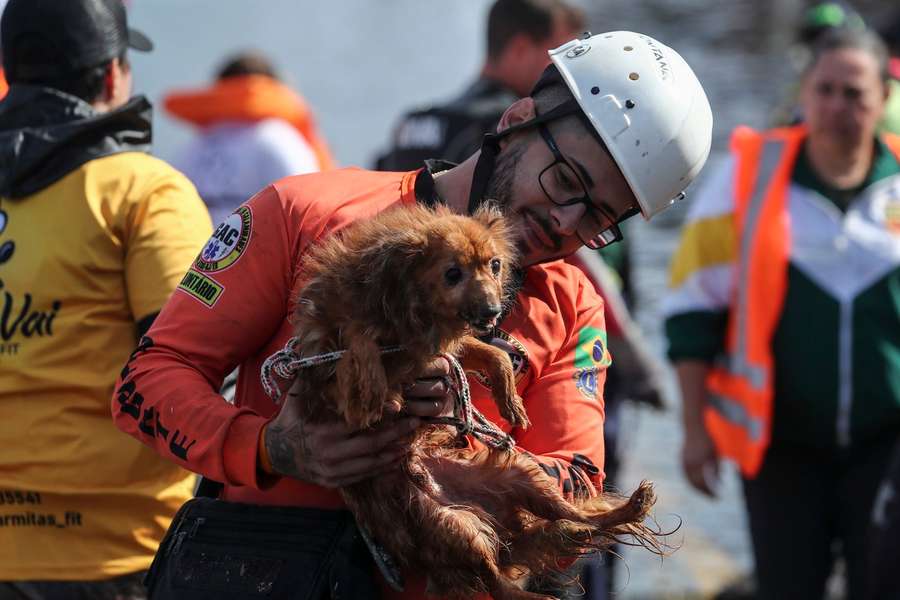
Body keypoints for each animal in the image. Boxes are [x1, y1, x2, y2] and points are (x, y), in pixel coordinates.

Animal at [288, 205, 660, 600]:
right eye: (452, 273)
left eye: (494, 265)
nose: (494, 310)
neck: (407, 313)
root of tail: (503, 528)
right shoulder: (332, 372)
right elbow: (356, 341)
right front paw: (371, 379)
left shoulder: (445, 347)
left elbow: (492, 356)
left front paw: (510, 401)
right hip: (454, 530)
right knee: (499, 582)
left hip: (520, 479)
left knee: (564, 524)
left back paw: (631, 506)